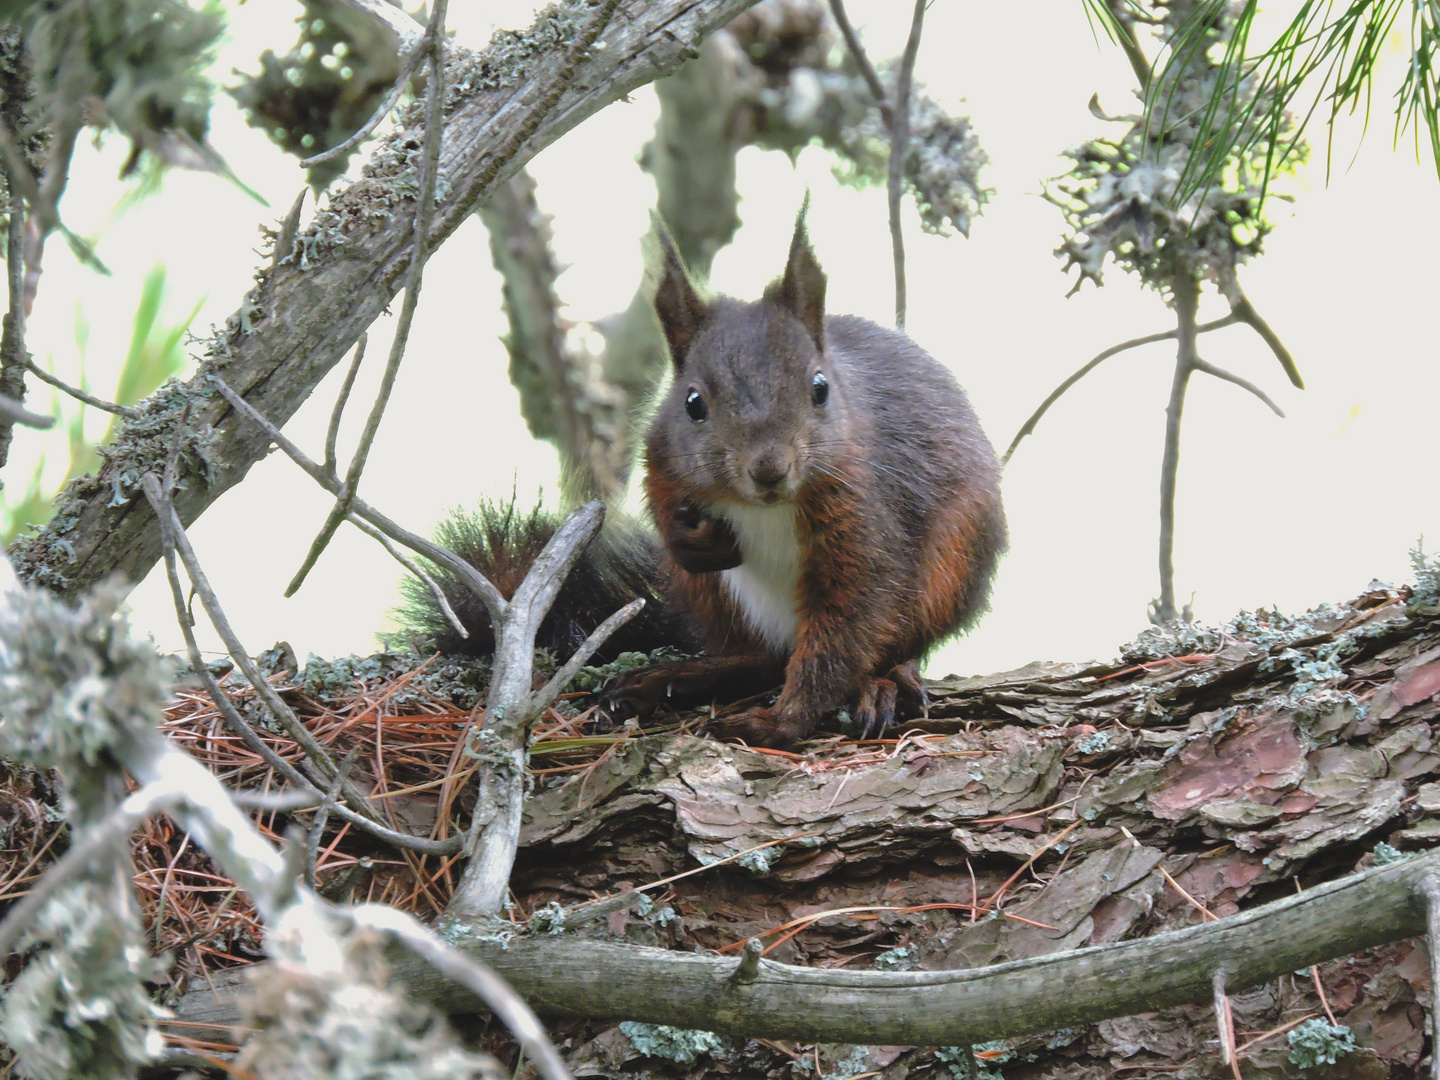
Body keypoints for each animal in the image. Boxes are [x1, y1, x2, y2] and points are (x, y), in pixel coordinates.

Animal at [394, 203, 1002, 748]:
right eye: (692, 403)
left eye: (820, 388)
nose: (769, 470)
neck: (765, 508)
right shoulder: (661, 453)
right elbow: (661, 497)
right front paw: (691, 538)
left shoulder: (864, 516)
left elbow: (848, 624)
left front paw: (782, 723)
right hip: (712, 596)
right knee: (758, 657)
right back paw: (671, 678)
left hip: (950, 568)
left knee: (884, 646)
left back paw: (885, 682)